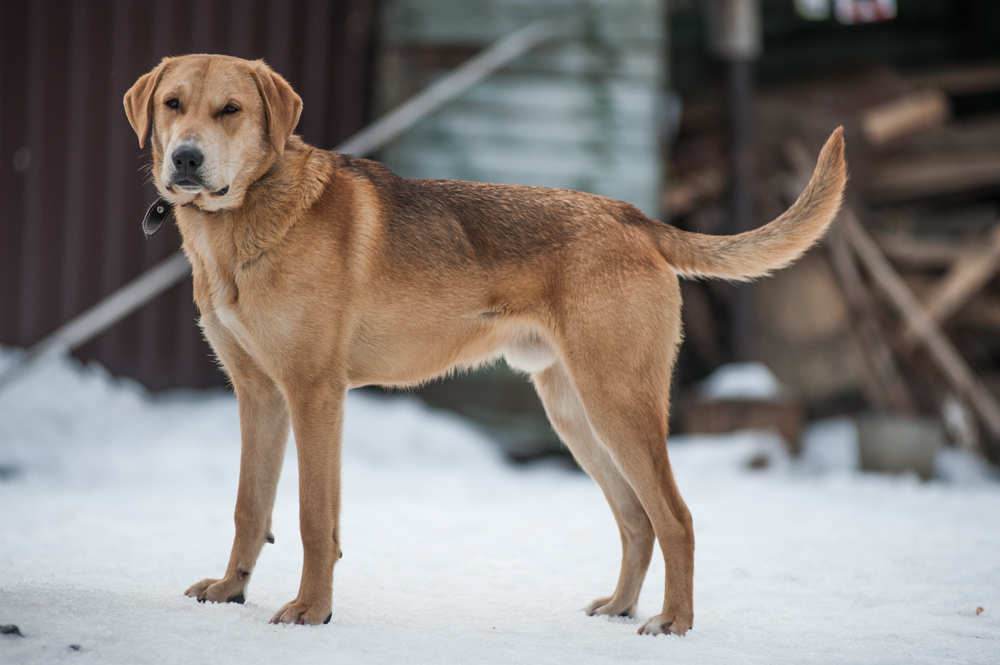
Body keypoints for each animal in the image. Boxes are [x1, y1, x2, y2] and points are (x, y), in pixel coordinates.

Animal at [123, 53, 844, 632]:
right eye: (172, 104)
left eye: (231, 110)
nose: (185, 159)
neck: (242, 220)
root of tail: (634, 218)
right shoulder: (259, 394)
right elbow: (250, 506)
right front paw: (231, 590)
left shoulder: (314, 393)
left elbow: (312, 518)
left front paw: (311, 610)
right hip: (576, 412)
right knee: (637, 519)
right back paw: (620, 607)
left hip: (618, 401)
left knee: (676, 517)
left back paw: (673, 623)